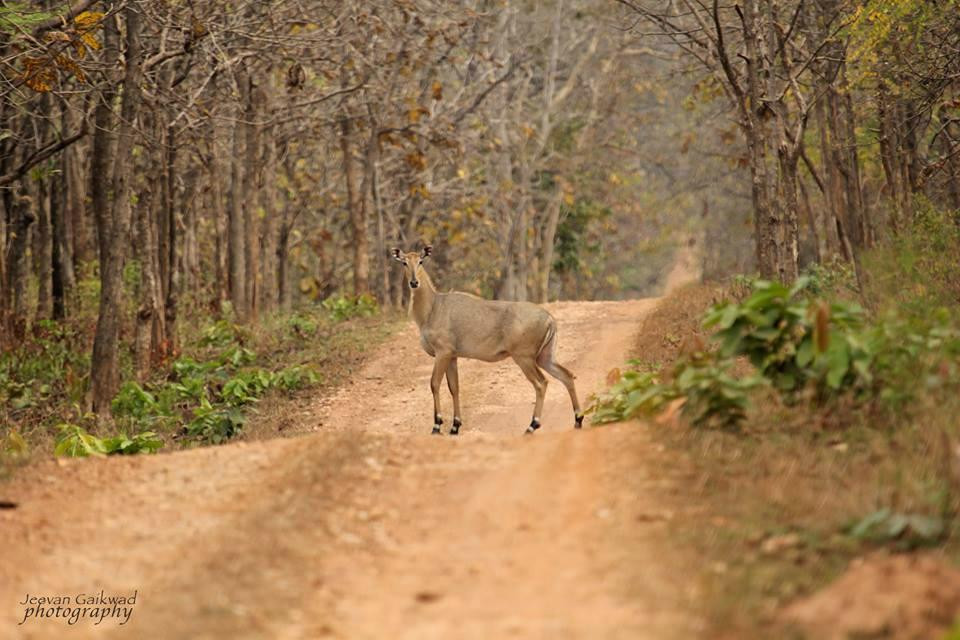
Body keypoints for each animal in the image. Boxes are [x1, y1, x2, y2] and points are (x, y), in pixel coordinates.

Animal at [392, 245, 584, 436]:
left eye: (421, 261)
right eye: (404, 263)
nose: (414, 282)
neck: (432, 308)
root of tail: (550, 319)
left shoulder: (442, 352)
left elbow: (434, 384)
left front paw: (437, 426)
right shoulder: (452, 356)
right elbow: (454, 387)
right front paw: (455, 426)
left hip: (524, 357)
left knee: (541, 383)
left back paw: (532, 425)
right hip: (544, 356)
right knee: (567, 375)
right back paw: (578, 420)